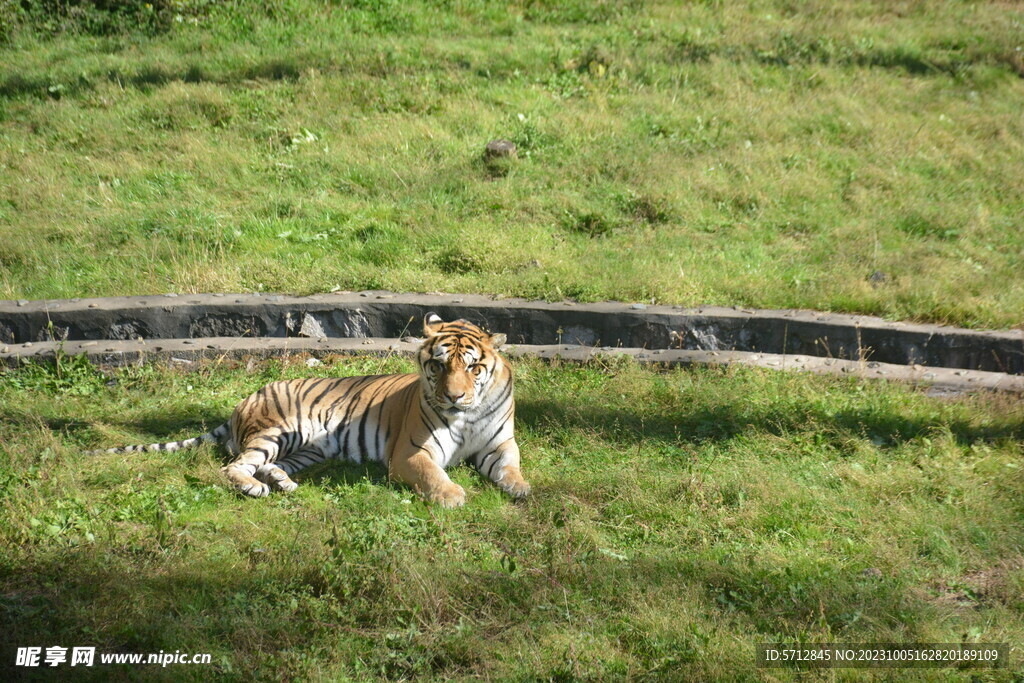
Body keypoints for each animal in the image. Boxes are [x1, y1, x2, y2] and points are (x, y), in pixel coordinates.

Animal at [95, 315, 532, 507]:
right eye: (438, 366)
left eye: (473, 368)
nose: (455, 397)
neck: (468, 414)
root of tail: (243, 401)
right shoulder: (412, 453)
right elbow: (433, 474)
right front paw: (452, 495)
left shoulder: (498, 445)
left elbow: (510, 466)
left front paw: (521, 487)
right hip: (279, 431)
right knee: (234, 466)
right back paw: (254, 488)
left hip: (309, 446)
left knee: (267, 465)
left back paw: (284, 484)